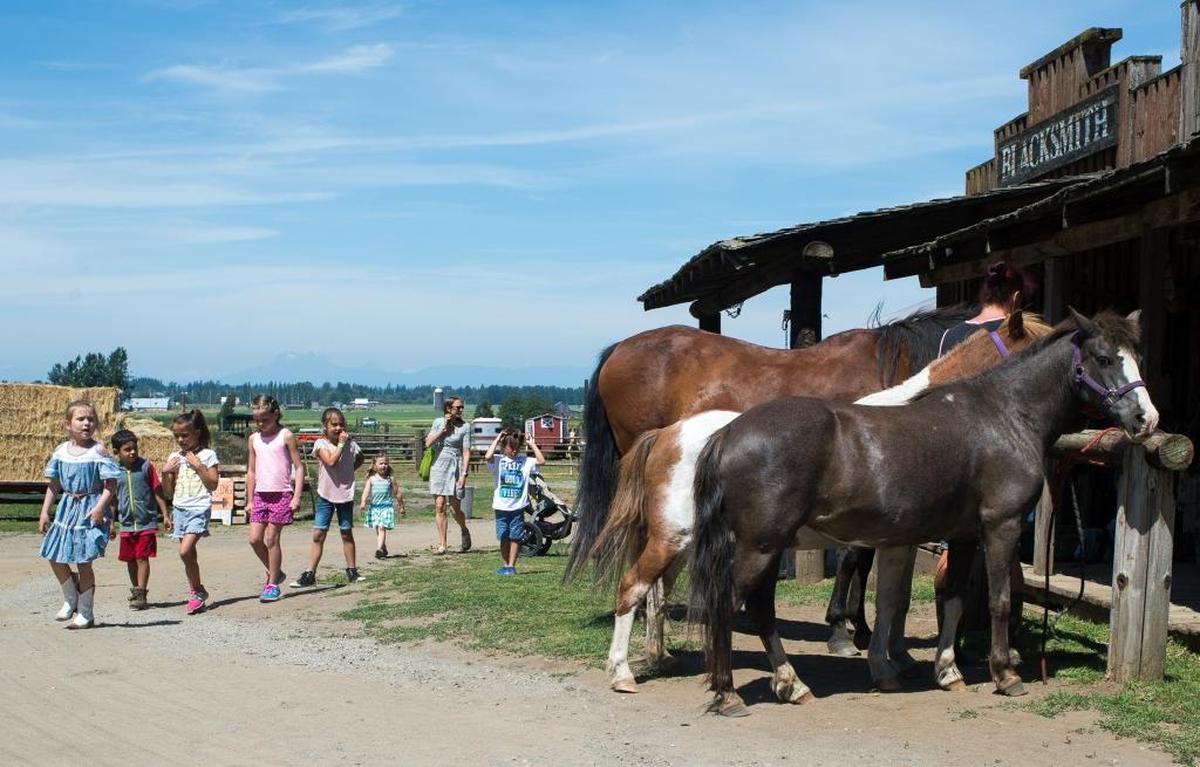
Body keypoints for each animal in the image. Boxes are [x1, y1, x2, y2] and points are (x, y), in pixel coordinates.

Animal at [688, 309, 1158, 716]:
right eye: (1104, 358)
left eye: (1138, 358)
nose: (1146, 419)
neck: (1003, 417)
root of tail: (727, 433)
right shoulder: (1000, 527)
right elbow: (1000, 600)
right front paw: (1005, 674)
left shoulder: (964, 535)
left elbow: (953, 600)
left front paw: (948, 671)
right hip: (760, 547)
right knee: (727, 606)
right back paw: (729, 695)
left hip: (766, 547)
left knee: (760, 608)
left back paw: (792, 685)